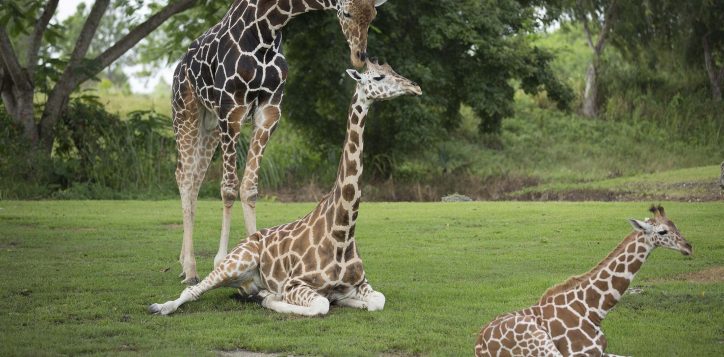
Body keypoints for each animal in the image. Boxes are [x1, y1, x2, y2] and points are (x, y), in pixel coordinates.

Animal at [148, 59, 418, 316]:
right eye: (378, 77)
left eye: (394, 70)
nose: (414, 87)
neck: (342, 232)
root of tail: (246, 241)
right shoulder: (295, 283)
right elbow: (321, 305)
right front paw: (275, 300)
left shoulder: (359, 283)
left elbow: (377, 300)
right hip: (236, 261)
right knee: (193, 289)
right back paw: (160, 306)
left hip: (243, 278)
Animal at [174, 0, 390, 284]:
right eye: (346, 13)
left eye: (373, 15)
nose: (359, 56)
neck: (265, 31)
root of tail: (179, 66)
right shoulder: (231, 109)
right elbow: (229, 188)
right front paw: (221, 260)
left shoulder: (270, 111)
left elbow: (249, 188)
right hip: (186, 112)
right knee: (185, 177)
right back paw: (189, 269)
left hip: (208, 124)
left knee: (196, 178)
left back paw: (183, 263)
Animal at [476, 204, 692, 356]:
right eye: (662, 231)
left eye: (675, 225)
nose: (688, 247)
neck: (593, 310)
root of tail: (478, 347)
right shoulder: (578, 354)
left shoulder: (602, 352)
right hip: (540, 342)